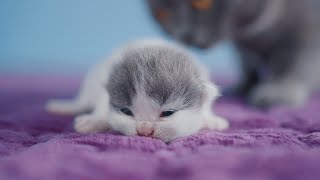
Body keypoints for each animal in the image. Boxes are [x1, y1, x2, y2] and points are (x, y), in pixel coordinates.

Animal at [46, 39, 229, 142]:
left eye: (167, 113)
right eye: (126, 111)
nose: (144, 131)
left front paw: (210, 119)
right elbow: (102, 106)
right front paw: (95, 120)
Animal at [146, 0, 320, 107]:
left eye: (202, 2)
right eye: (162, 14)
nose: (186, 35)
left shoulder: (306, 28)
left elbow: (295, 60)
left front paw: (280, 89)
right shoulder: (244, 48)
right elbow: (247, 65)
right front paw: (244, 85)